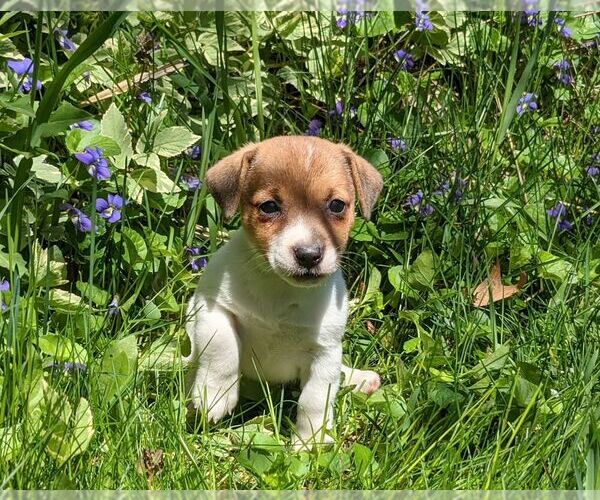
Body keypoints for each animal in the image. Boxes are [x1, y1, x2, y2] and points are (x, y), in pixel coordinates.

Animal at [185, 135, 384, 448]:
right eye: (269, 206)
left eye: (337, 205)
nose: (308, 255)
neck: (281, 289)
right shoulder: (210, 306)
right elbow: (222, 346)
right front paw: (215, 395)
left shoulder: (325, 352)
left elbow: (315, 398)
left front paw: (311, 442)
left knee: (339, 374)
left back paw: (362, 380)